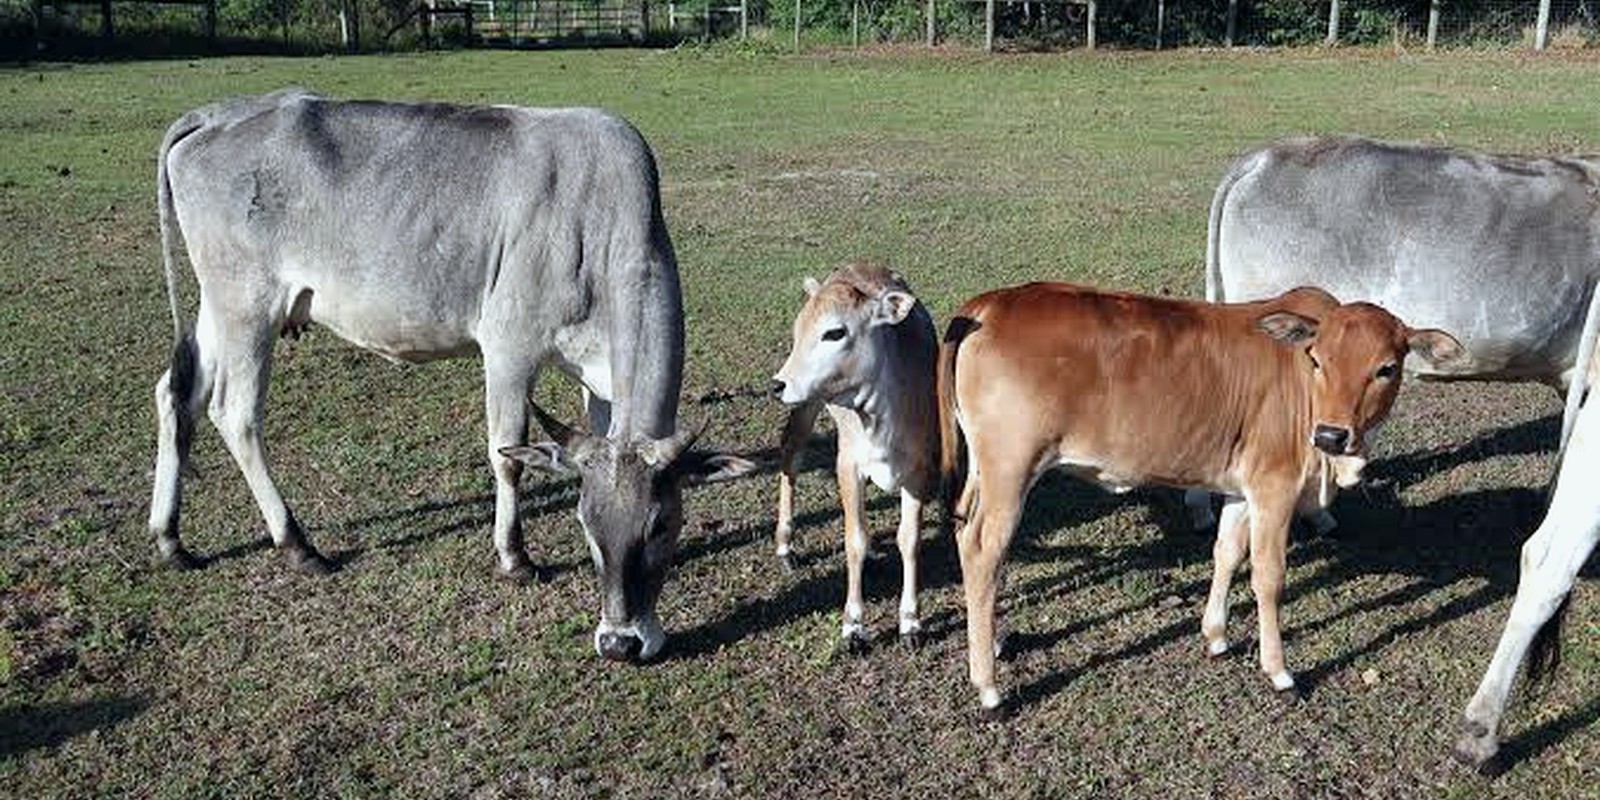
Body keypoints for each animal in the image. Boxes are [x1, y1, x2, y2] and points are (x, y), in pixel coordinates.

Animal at [147, 89, 754, 663]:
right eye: (586, 523)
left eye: (662, 524)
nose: (620, 641)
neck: (600, 217)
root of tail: (217, 113)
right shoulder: (508, 348)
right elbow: (508, 454)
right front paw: (514, 557)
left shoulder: (599, 381)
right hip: (247, 307)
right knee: (235, 414)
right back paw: (297, 543)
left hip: (218, 308)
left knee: (177, 395)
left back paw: (171, 538)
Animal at [769, 263, 940, 650]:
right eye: (798, 330)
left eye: (835, 332)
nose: (777, 384)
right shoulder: (847, 465)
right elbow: (854, 540)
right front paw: (854, 625)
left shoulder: (919, 470)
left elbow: (909, 539)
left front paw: (910, 622)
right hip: (807, 402)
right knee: (791, 453)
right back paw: (785, 545)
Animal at [937, 282, 1467, 715]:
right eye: (1317, 359)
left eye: (1386, 368)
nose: (1332, 435)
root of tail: (991, 303)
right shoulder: (1274, 489)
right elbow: (1268, 578)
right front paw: (1279, 671)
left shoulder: (1241, 489)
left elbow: (1227, 553)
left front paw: (1216, 635)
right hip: (1011, 468)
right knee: (983, 550)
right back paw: (988, 687)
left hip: (986, 473)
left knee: (970, 542)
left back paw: (995, 641)